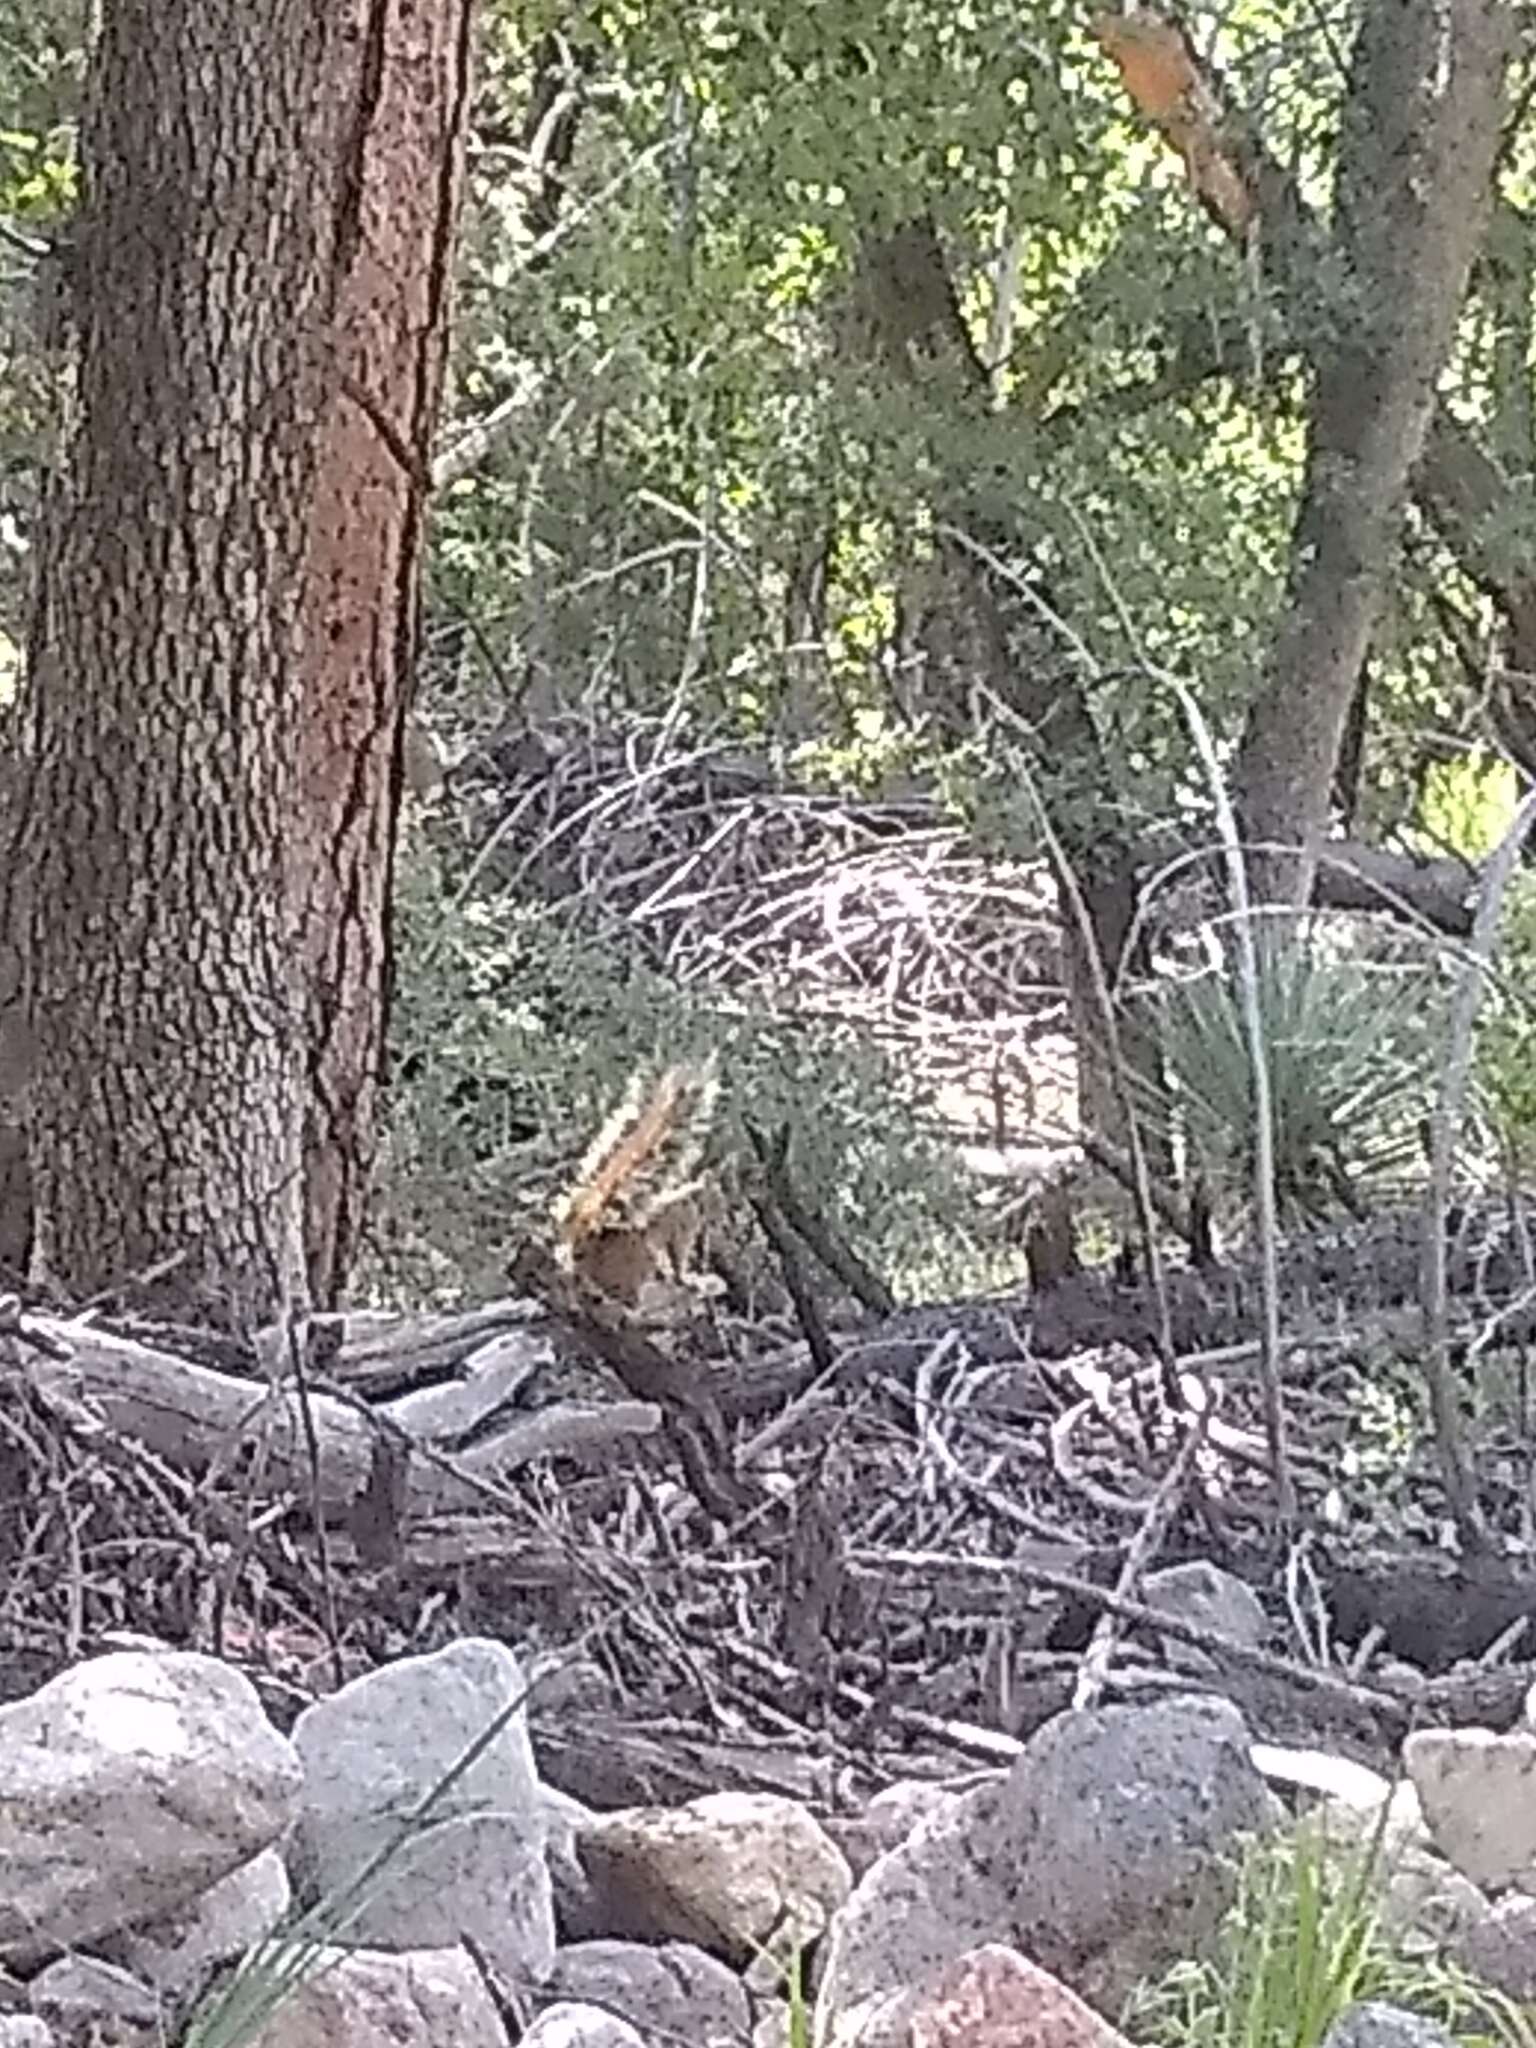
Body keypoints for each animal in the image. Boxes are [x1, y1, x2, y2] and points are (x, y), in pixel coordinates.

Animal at [552, 1056, 720, 1310]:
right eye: (719, 1198)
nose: (721, 1214)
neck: (691, 1198)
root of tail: (580, 1244)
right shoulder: (683, 1230)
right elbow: (679, 1260)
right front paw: (686, 1278)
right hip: (634, 1265)